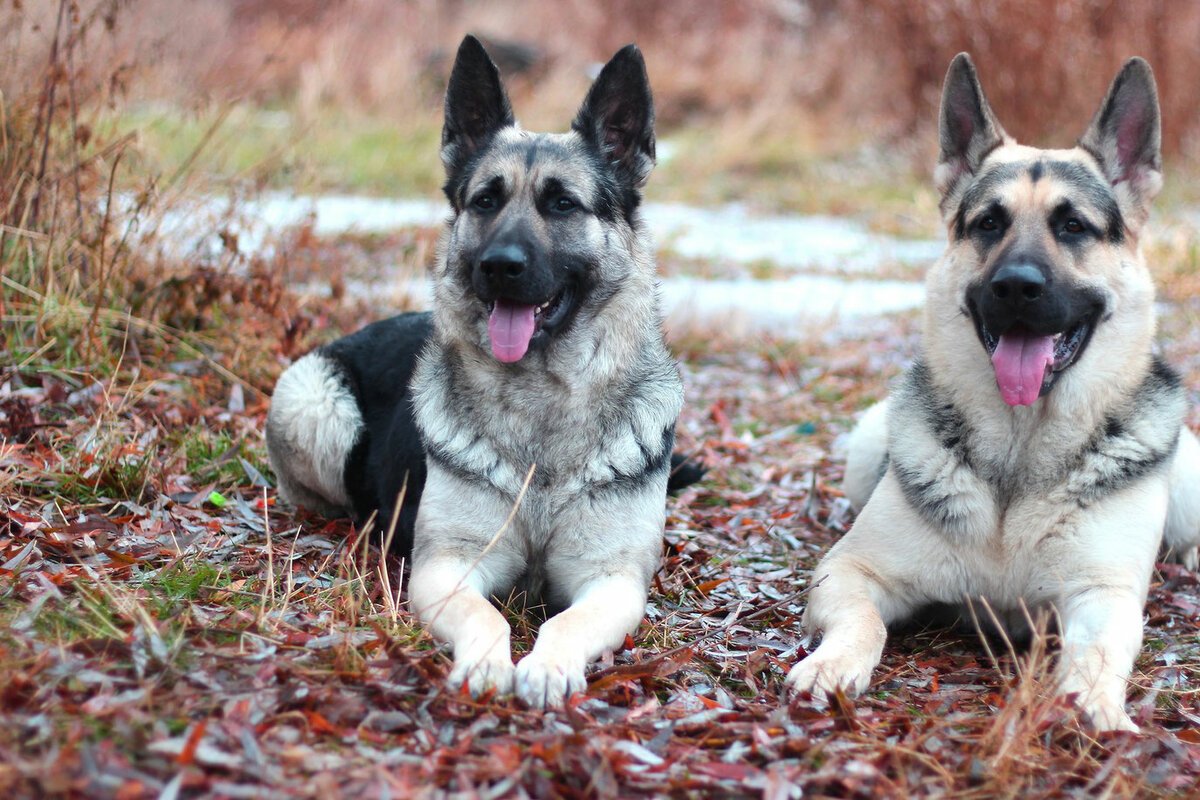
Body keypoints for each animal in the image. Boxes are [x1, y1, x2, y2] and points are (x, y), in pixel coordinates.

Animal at [262, 35, 696, 705]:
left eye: (561, 204)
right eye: (486, 200)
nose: (499, 265)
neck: (542, 402)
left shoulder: (611, 579)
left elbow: (567, 621)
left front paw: (548, 666)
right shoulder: (448, 567)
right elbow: (486, 615)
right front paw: (489, 664)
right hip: (314, 406)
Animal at [787, 54, 1200, 734]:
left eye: (1072, 226)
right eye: (988, 224)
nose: (1016, 286)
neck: (1020, 448)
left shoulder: (1103, 595)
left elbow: (1100, 650)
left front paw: (1091, 703)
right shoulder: (848, 570)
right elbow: (864, 622)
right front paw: (832, 663)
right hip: (865, 445)